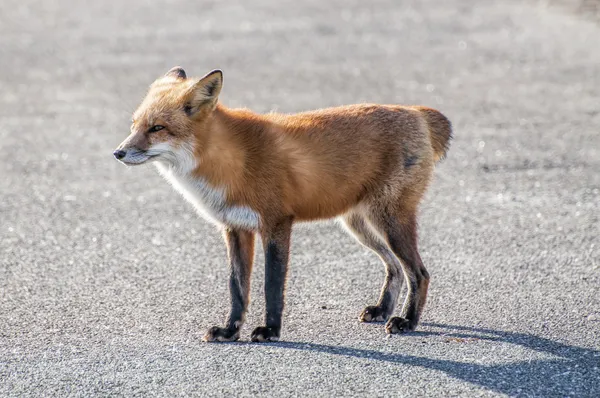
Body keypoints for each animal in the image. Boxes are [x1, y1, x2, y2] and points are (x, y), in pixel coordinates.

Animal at [112, 66, 452, 342]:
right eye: (134, 125)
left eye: (157, 128)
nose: (118, 153)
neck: (231, 162)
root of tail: (414, 111)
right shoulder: (235, 228)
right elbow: (237, 288)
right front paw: (230, 331)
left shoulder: (276, 223)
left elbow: (271, 286)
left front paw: (270, 330)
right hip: (359, 225)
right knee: (394, 267)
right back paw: (383, 309)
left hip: (389, 222)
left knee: (419, 273)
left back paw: (407, 321)